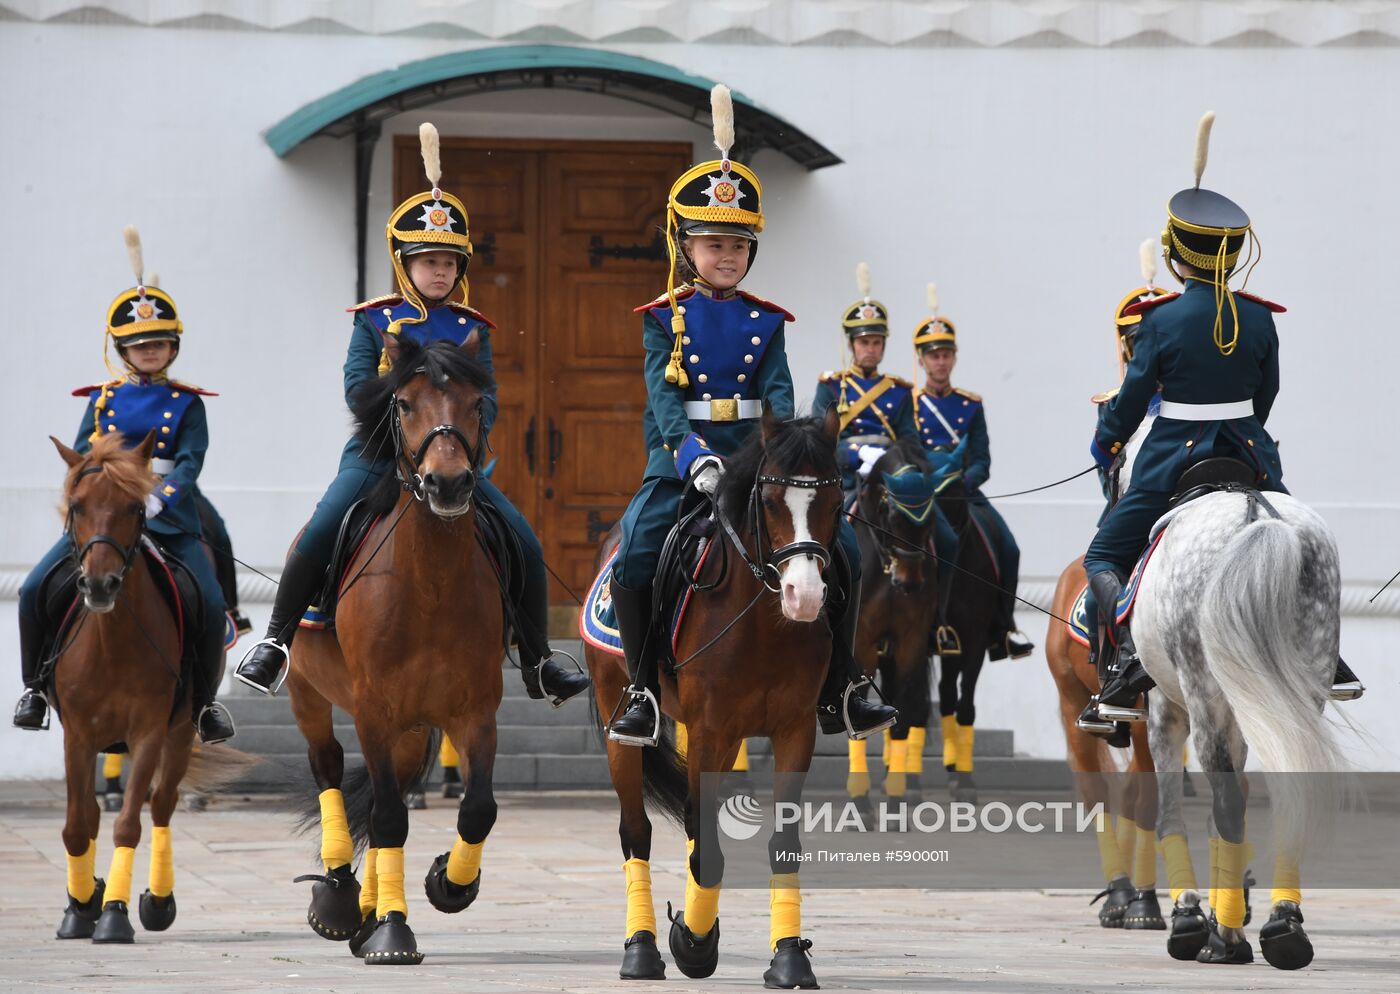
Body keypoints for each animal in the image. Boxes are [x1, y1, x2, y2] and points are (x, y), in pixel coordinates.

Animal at [46, 436, 247, 952]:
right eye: (77, 506)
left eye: (135, 508)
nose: (100, 584)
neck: (112, 644)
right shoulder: (77, 736)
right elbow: (77, 827)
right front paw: (81, 908)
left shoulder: (150, 732)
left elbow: (128, 824)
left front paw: (114, 915)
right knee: (95, 814)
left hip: (178, 735)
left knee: (161, 805)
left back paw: (157, 900)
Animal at [292, 340, 512, 963]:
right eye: (405, 403)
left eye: (476, 402)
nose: (448, 484)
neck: (430, 585)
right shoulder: (373, 710)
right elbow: (388, 817)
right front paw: (392, 931)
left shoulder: (475, 712)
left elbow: (478, 809)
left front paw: (450, 883)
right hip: (308, 695)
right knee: (329, 769)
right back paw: (341, 899)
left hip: (412, 731)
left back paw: (364, 911)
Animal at [585, 411, 845, 991]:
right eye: (769, 500)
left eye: (835, 498)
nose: (805, 596)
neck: (763, 623)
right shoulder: (708, 727)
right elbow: (705, 848)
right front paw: (693, 943)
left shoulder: (795, 730)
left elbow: (780, 842)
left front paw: (789, 958)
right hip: (621, 714)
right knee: (636, 832)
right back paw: (642, 950)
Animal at [1047, 557, 1164, 929]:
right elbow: (1149, 803)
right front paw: (1145, 904)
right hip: (1071, 700)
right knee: (1098, 795)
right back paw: (1119, 893)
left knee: (1126, 793)